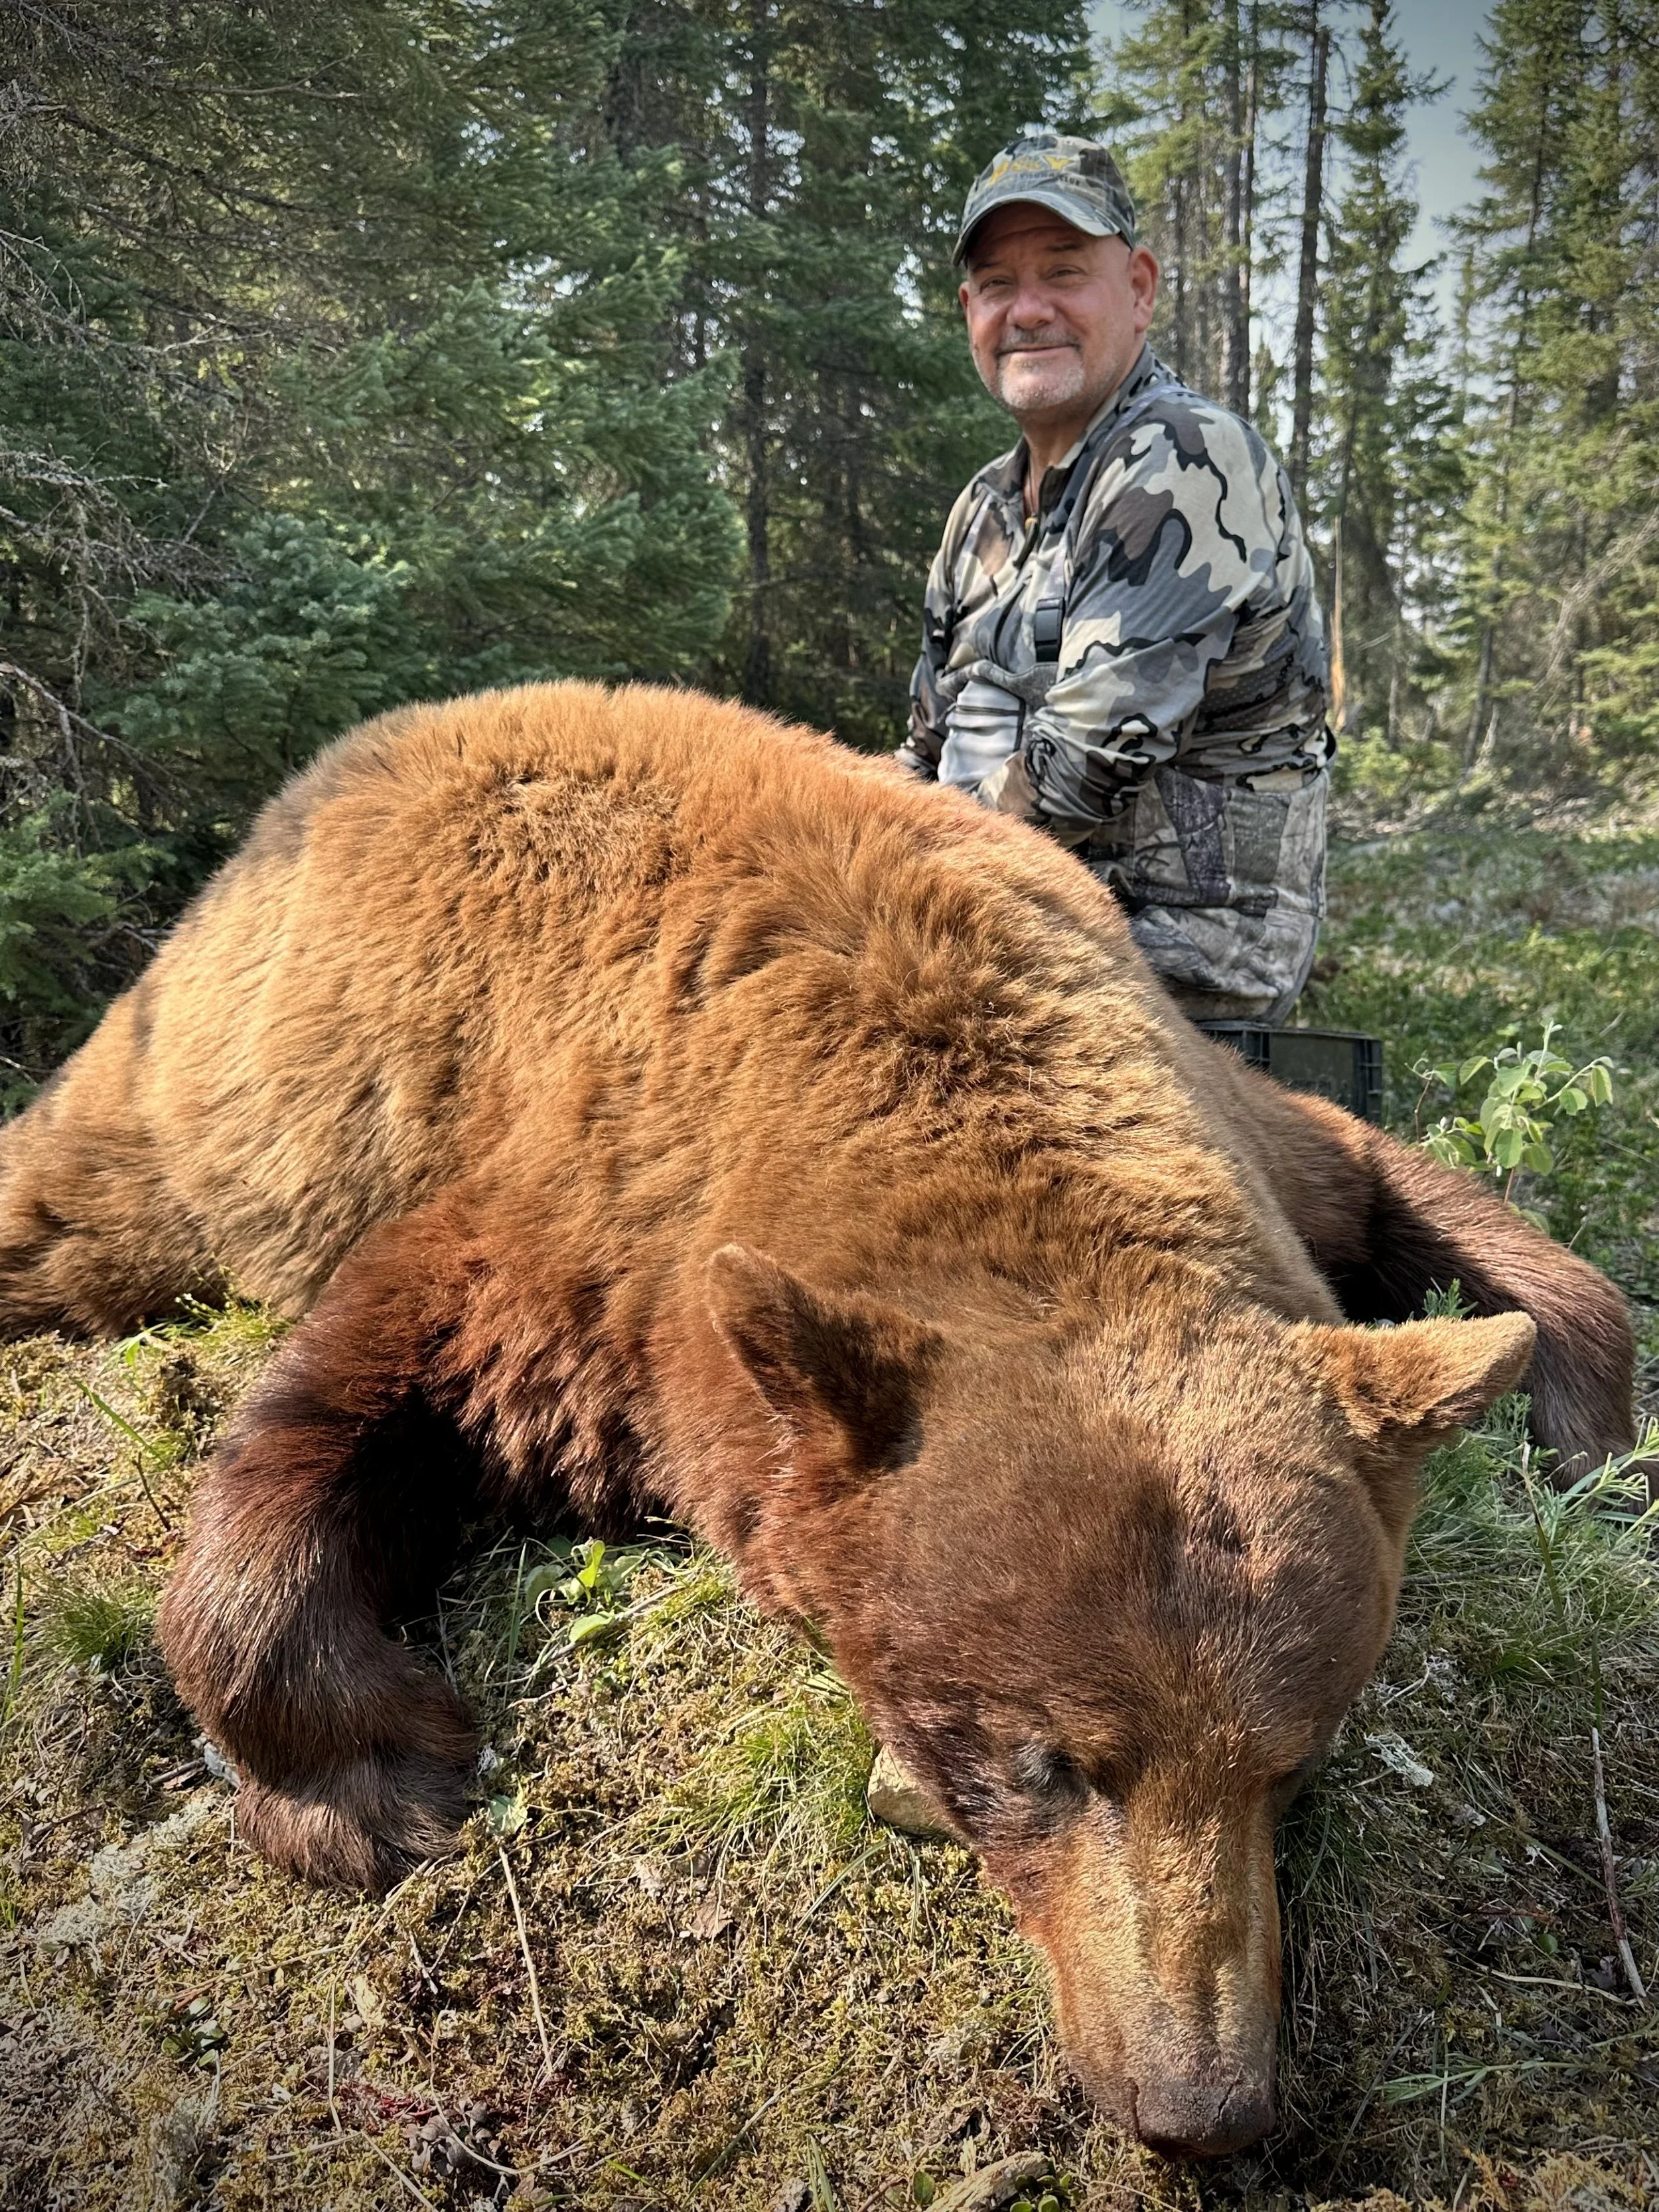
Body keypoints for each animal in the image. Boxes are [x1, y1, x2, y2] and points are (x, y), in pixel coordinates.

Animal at [0, 682, 1639, 2159]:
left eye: (1290, 1760)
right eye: (1047, 1759)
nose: (1201, 2106)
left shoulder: (1240, 1127)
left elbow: (1417, 1196)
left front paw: (1583, 1415)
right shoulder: (573, 1216)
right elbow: (356, 1387)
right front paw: (375, 1782)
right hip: (189, 1091)